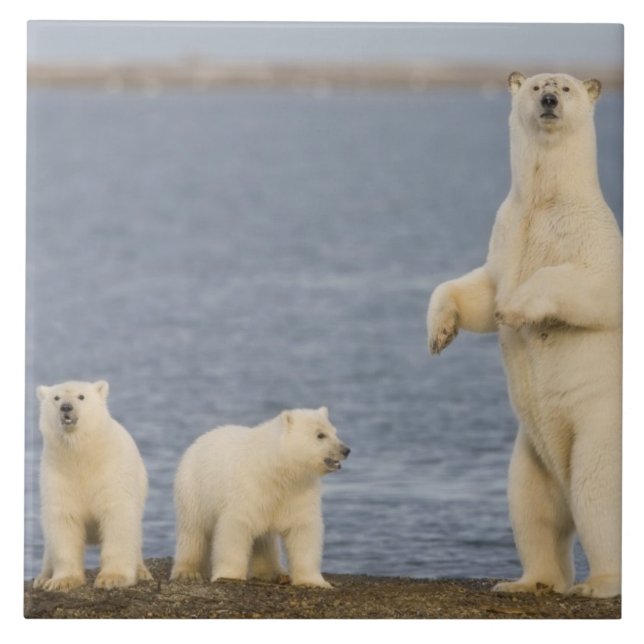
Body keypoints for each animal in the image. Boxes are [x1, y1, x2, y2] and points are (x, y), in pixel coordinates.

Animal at [33, 380, 152, 591]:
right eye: (56, 397)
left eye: (81, 396)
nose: (66, 407)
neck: (82, 455)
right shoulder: (58, 476)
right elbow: (64, 520)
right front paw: (61, 581)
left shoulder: (112, 473)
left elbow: (117, 516)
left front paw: (113, 578)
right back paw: (42, 578)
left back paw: (142, 572)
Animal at [170, 407, 350, 588]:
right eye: (320, 435)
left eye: (334, 432)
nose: (346, 450)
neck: (275, 470)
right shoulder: (248, 489)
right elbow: (236, 527)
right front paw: (230, 575)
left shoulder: (298, 492)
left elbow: (302, 529)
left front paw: (314, 581)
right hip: (194, 489)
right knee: (193, 531)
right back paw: (188, 573)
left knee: (264, 541)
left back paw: (274, 572)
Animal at [426, 72, 622, 598]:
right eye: (536, 86)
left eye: (567, 88)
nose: (550, 100)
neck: (545, 202)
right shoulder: (506, 231)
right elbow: (477, 289)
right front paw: (440, 332)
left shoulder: (591, 239)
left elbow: (594, 287)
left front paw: (515, 309)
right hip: (531, 453)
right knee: (531, 507)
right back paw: (526, 581)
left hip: (600, 430)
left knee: (598, 495)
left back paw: (599, 583)